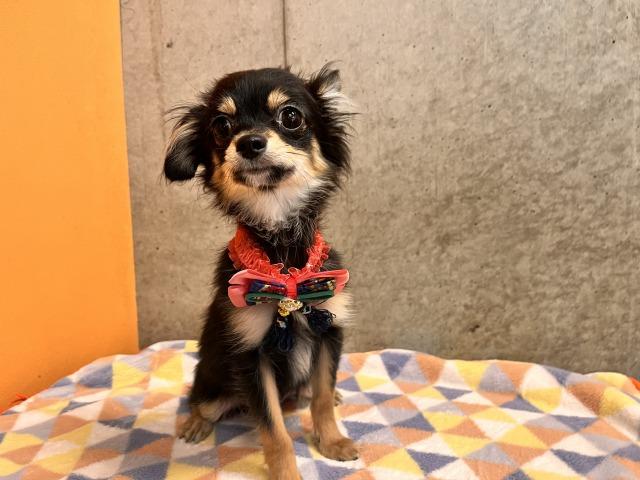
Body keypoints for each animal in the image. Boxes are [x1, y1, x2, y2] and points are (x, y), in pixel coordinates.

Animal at [163, 65, 357, 479]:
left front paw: (332, 441)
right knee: (198, 400)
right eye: (221, 126)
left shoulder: (328, 330)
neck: (281, 256)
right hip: (214, 382)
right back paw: (195, 422)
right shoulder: (251, 355)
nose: (249, 142)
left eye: (291, 117)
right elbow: (273, 429)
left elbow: (320, 398)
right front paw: (286, 473)